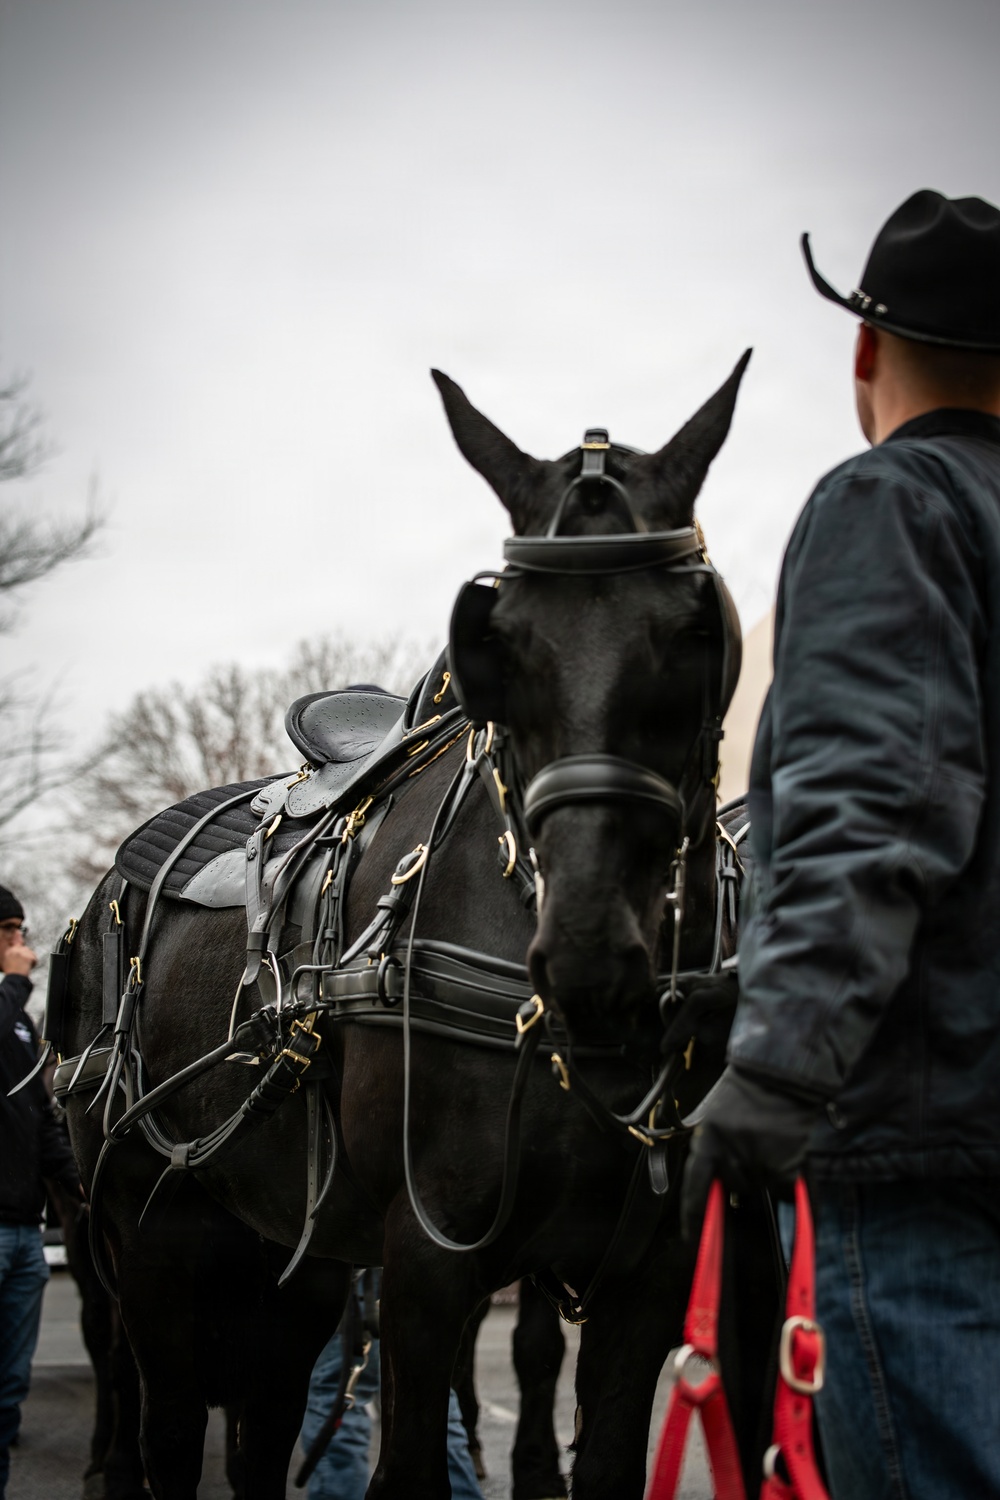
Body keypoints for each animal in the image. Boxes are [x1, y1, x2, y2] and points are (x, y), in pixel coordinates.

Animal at [60, 353, 780, 1499]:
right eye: (501, 640)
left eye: (697, 630)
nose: (589, 955)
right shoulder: (427, 1260)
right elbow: (409, 1461)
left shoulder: (649, 1274)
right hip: (147, 1238)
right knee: (162, 1417)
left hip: (286, 1263)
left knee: (262, 1421)